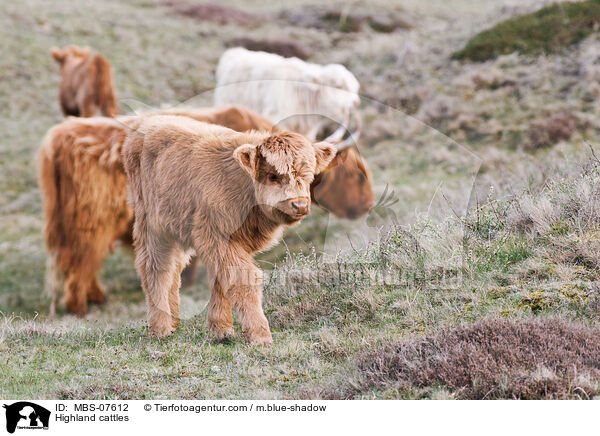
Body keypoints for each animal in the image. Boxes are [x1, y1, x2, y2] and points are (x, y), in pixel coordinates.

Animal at [123, 116, 336, 344]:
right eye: (272, 176)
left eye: (308, 176)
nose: (300, 205)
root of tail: (147, 122)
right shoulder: (217, 236)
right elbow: (242, 279)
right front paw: (260, 335)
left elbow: (219, 279)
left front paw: (221, 329)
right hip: (152, 226)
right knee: (156, 268)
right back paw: (160, 328)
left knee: (174, 268)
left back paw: (173, 322)